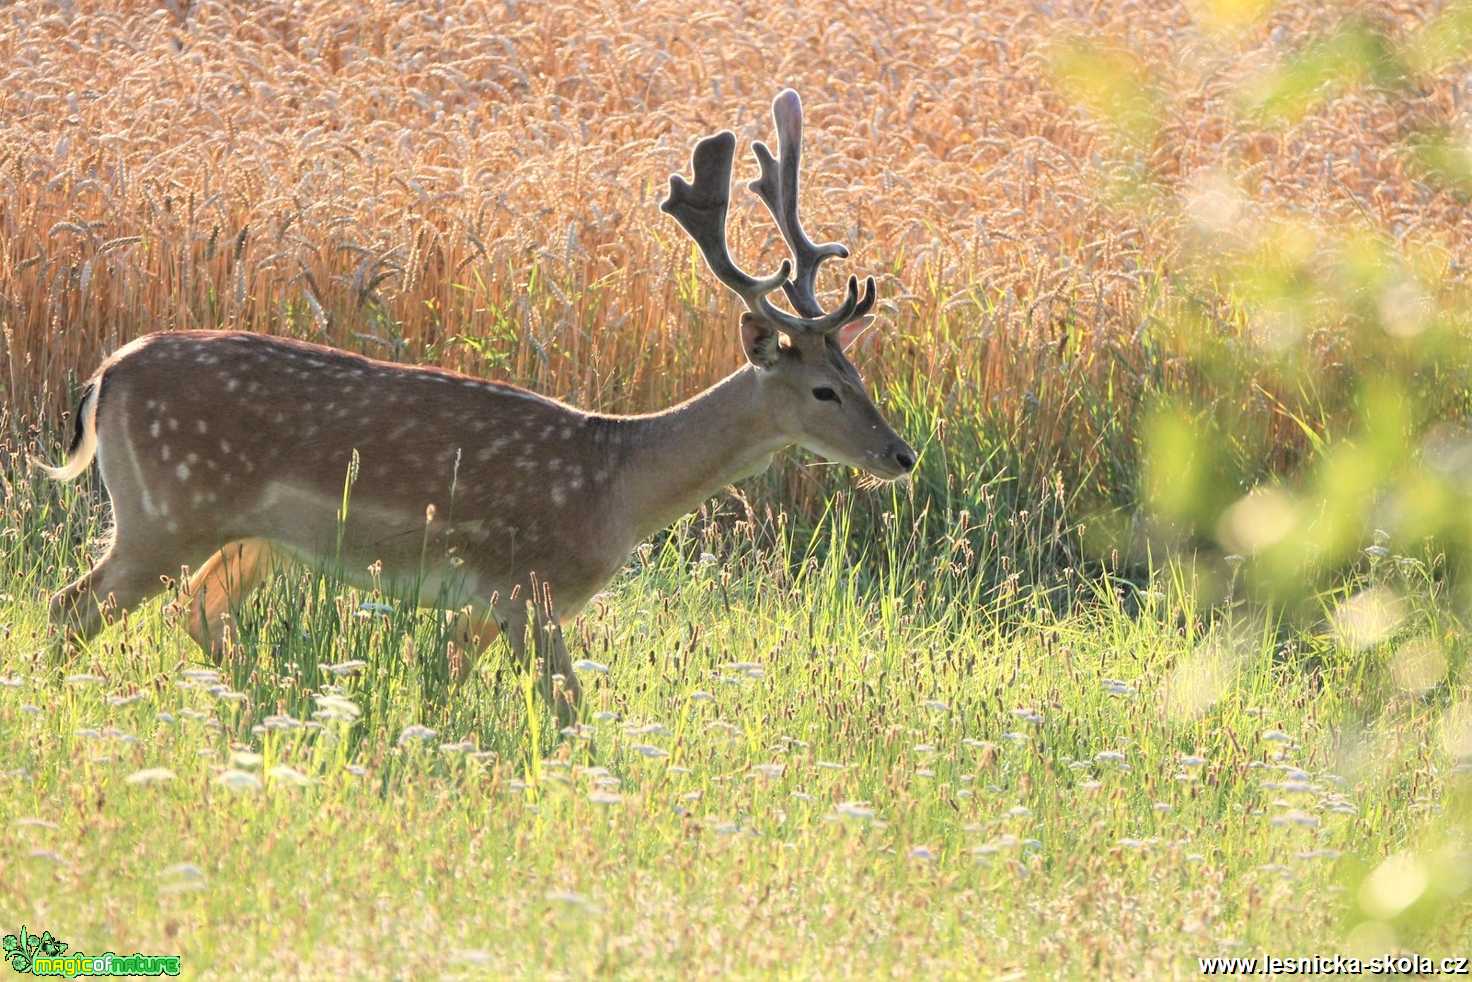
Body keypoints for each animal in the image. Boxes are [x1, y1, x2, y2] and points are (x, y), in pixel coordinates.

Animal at [40, 92, 912, 721]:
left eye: (862, 374)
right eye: (825, 389)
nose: (900, 455)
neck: (618, 489)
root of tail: (106, 375)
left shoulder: (489, 603)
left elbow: (446, 678)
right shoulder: (528, 589)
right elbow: (566, 708)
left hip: (250, 536)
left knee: (196, 610)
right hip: (166, 510)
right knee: (70, 604)